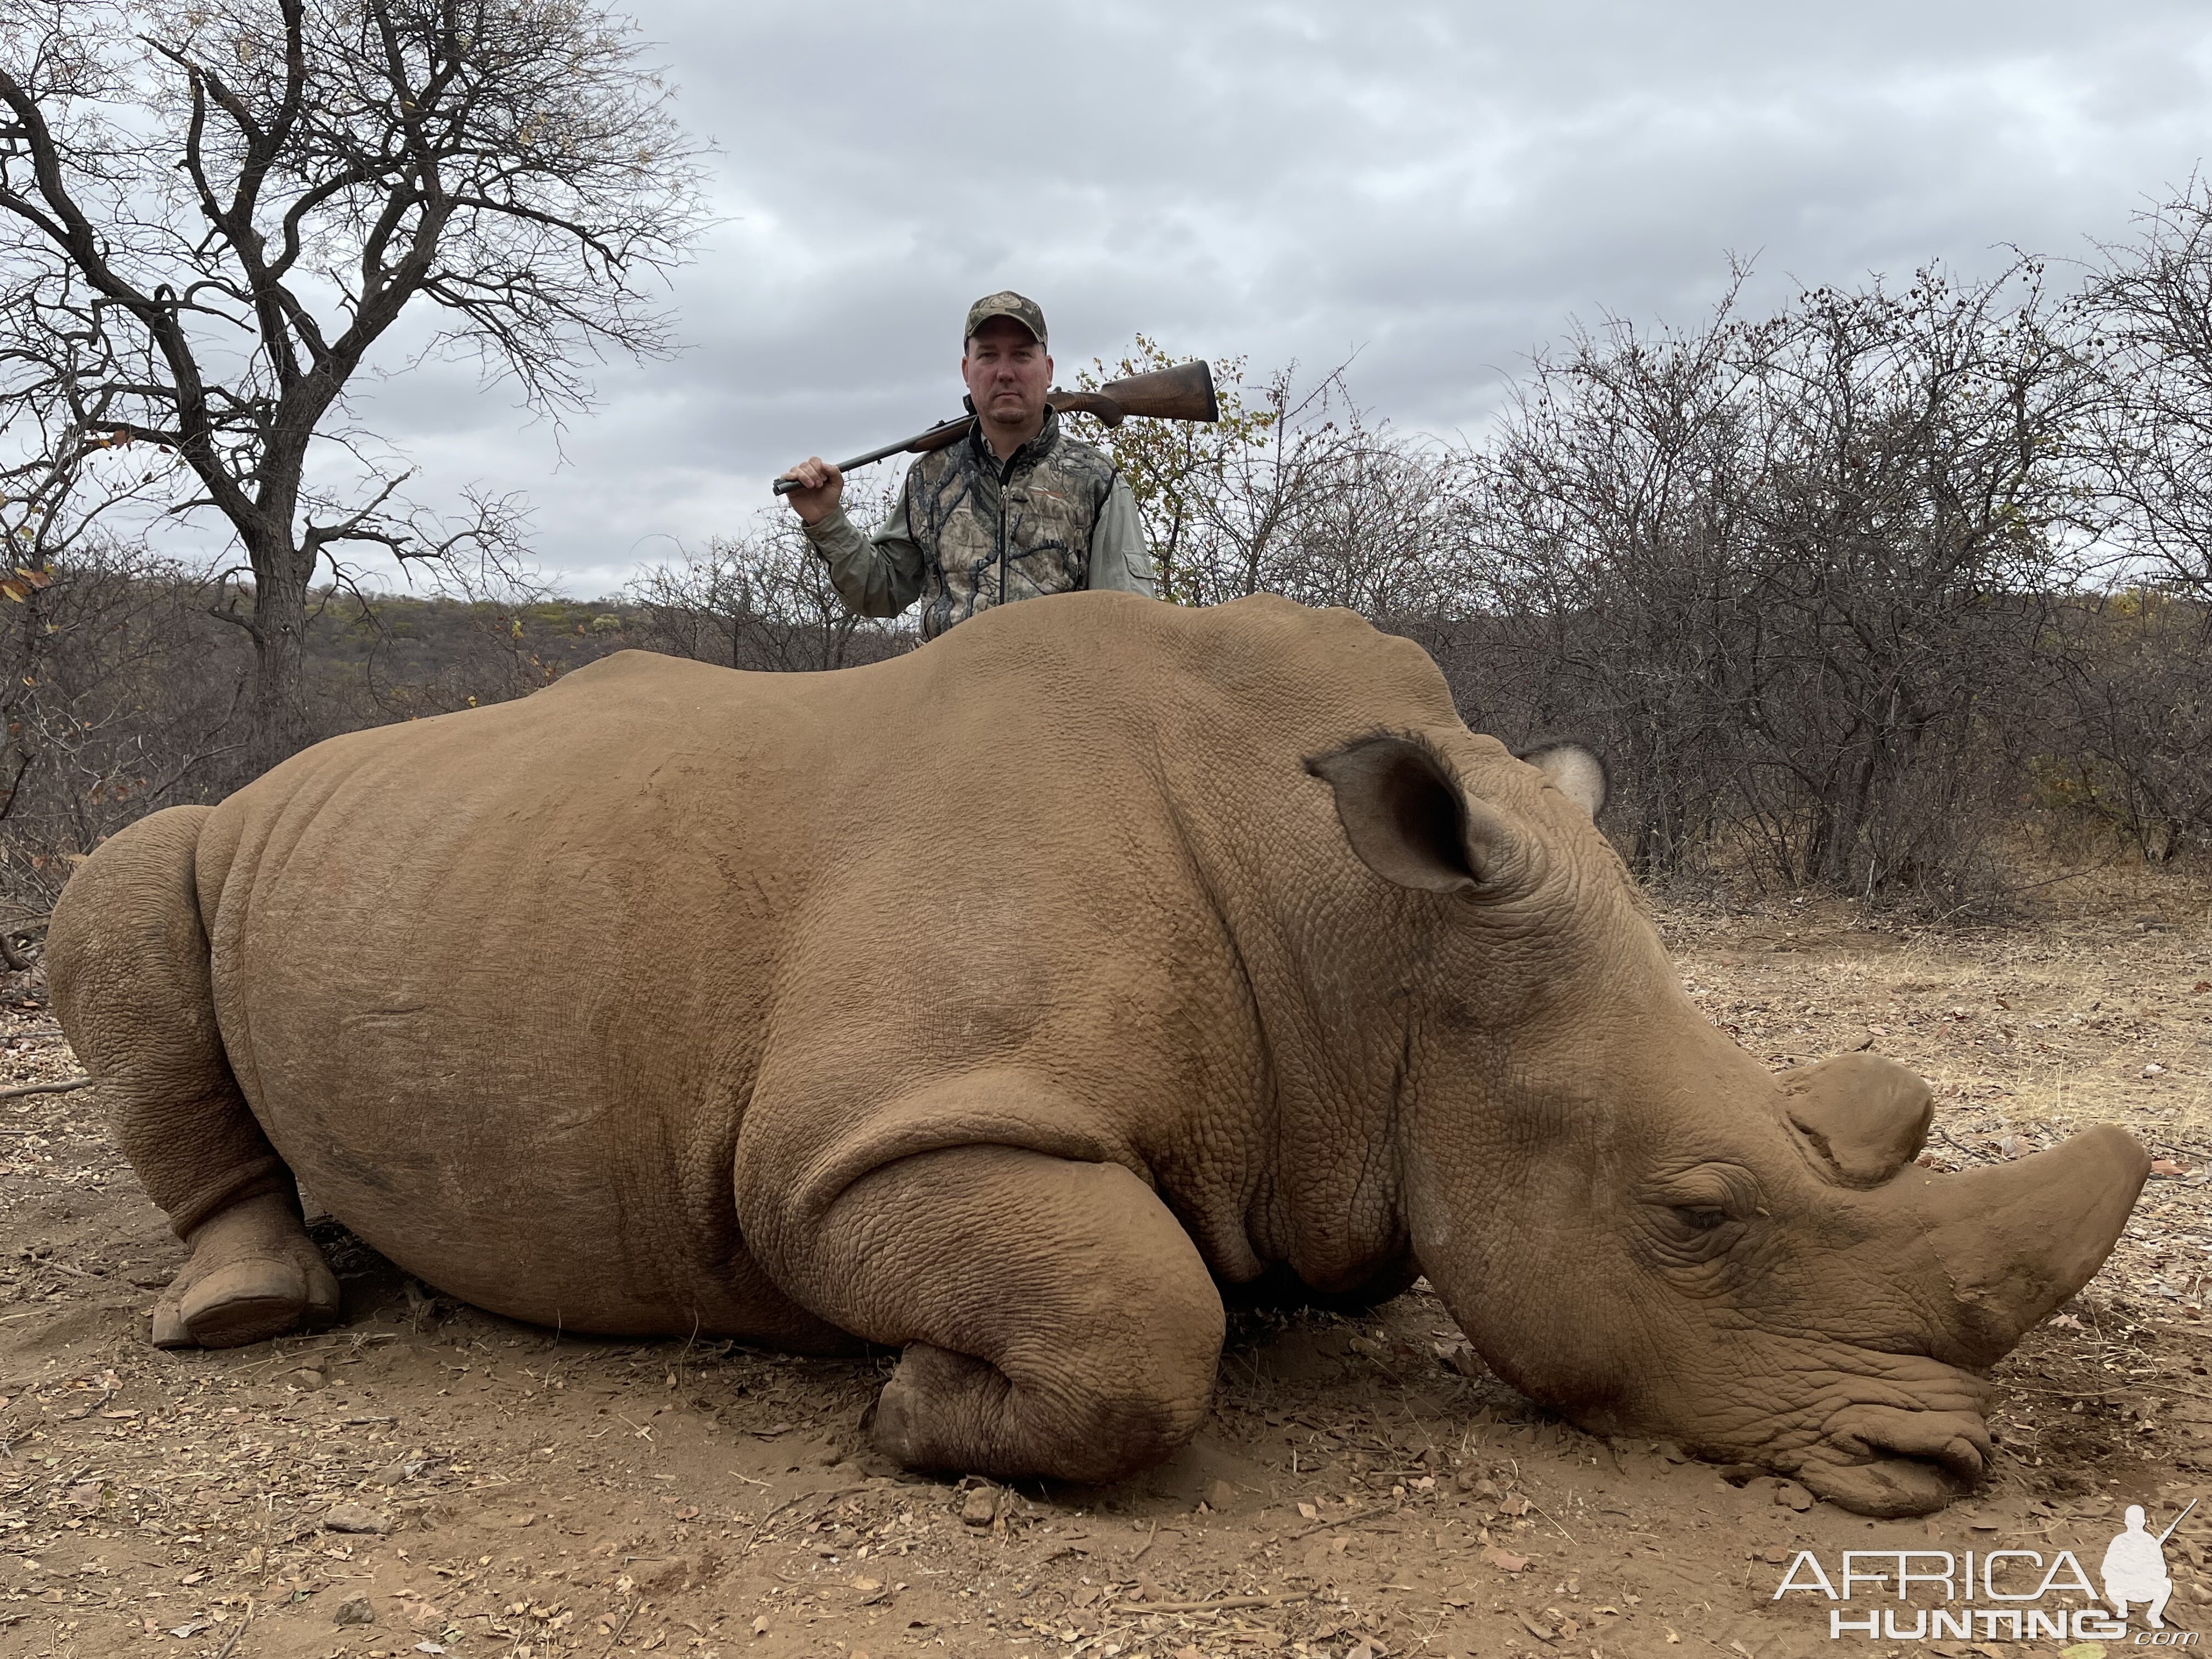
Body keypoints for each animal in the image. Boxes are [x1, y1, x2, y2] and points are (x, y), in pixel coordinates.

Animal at [47, 592, 2141, 1513]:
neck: (1360, 934)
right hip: (215, 838)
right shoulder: (864, 1141)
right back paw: (249, 1308)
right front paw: (914, 1411)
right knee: (125, 877)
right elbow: (1145, 1315)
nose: (1941, 1467)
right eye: (1697, 1216)